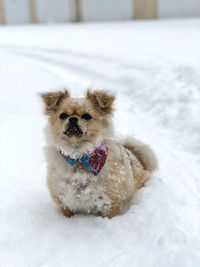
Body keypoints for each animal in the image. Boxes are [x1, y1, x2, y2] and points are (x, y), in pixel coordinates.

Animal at [40, 90, 156, 220]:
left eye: (87, 116)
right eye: (63, 115)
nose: (73, 119)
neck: (78, 156)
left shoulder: (110, 202)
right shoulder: (63, 200)